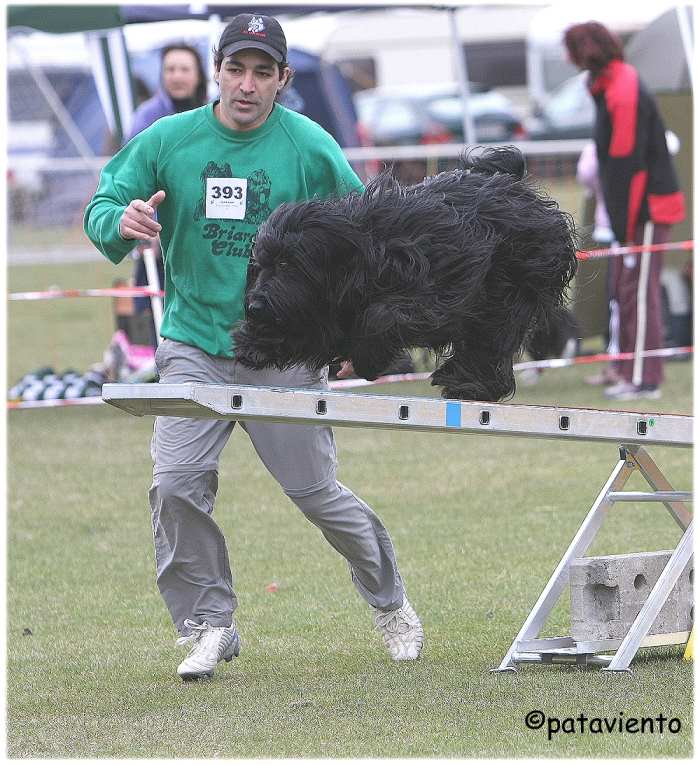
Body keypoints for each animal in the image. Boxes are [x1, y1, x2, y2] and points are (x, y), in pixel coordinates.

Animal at [232, 145, 576, 402]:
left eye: (286, 264)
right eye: (260, 265)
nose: (255, 306)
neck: (364, 253)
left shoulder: (437, 293)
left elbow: (382, 315)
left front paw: (368, 359)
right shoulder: (322, 308)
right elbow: (314, 329)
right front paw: (255, 343)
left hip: (512, 286)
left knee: (493, 338)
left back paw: (468, 383)